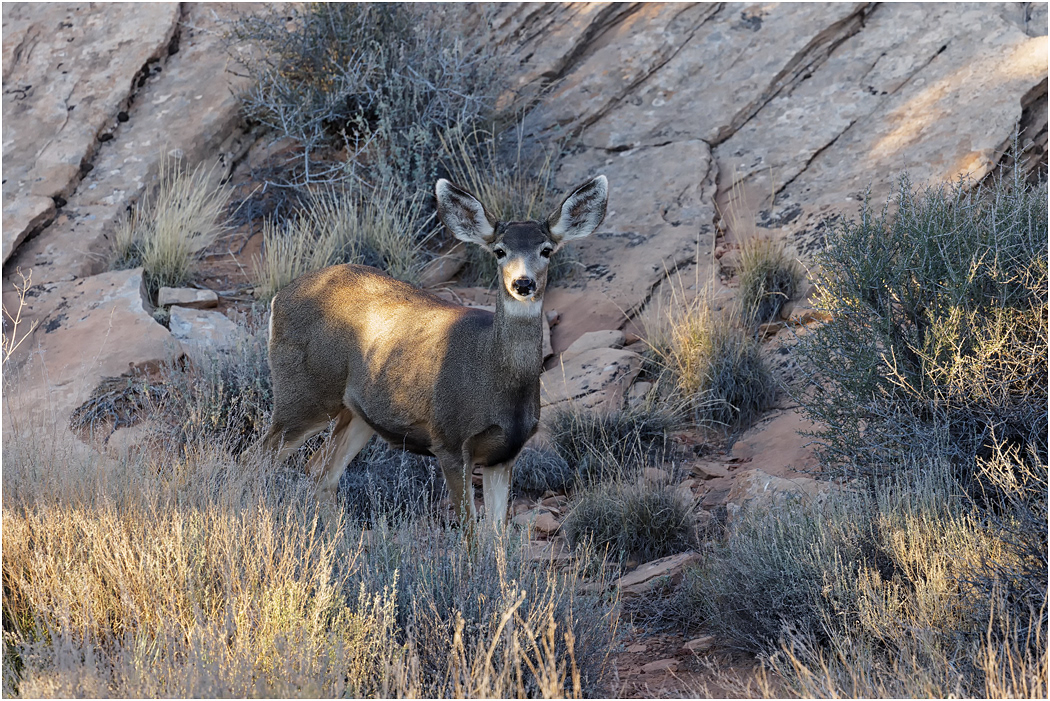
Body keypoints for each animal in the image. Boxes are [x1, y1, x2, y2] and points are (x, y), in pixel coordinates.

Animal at [253, 174, 608, 528]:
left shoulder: (505, 453)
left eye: (546, 250)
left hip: (357, 413)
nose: (523, 283)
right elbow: (470, 532)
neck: (494, 380)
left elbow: (496, 535)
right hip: (304, 394)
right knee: (255, 460)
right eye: (499, 251)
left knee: (319, 471)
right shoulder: (449, 441)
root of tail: (278, 298)